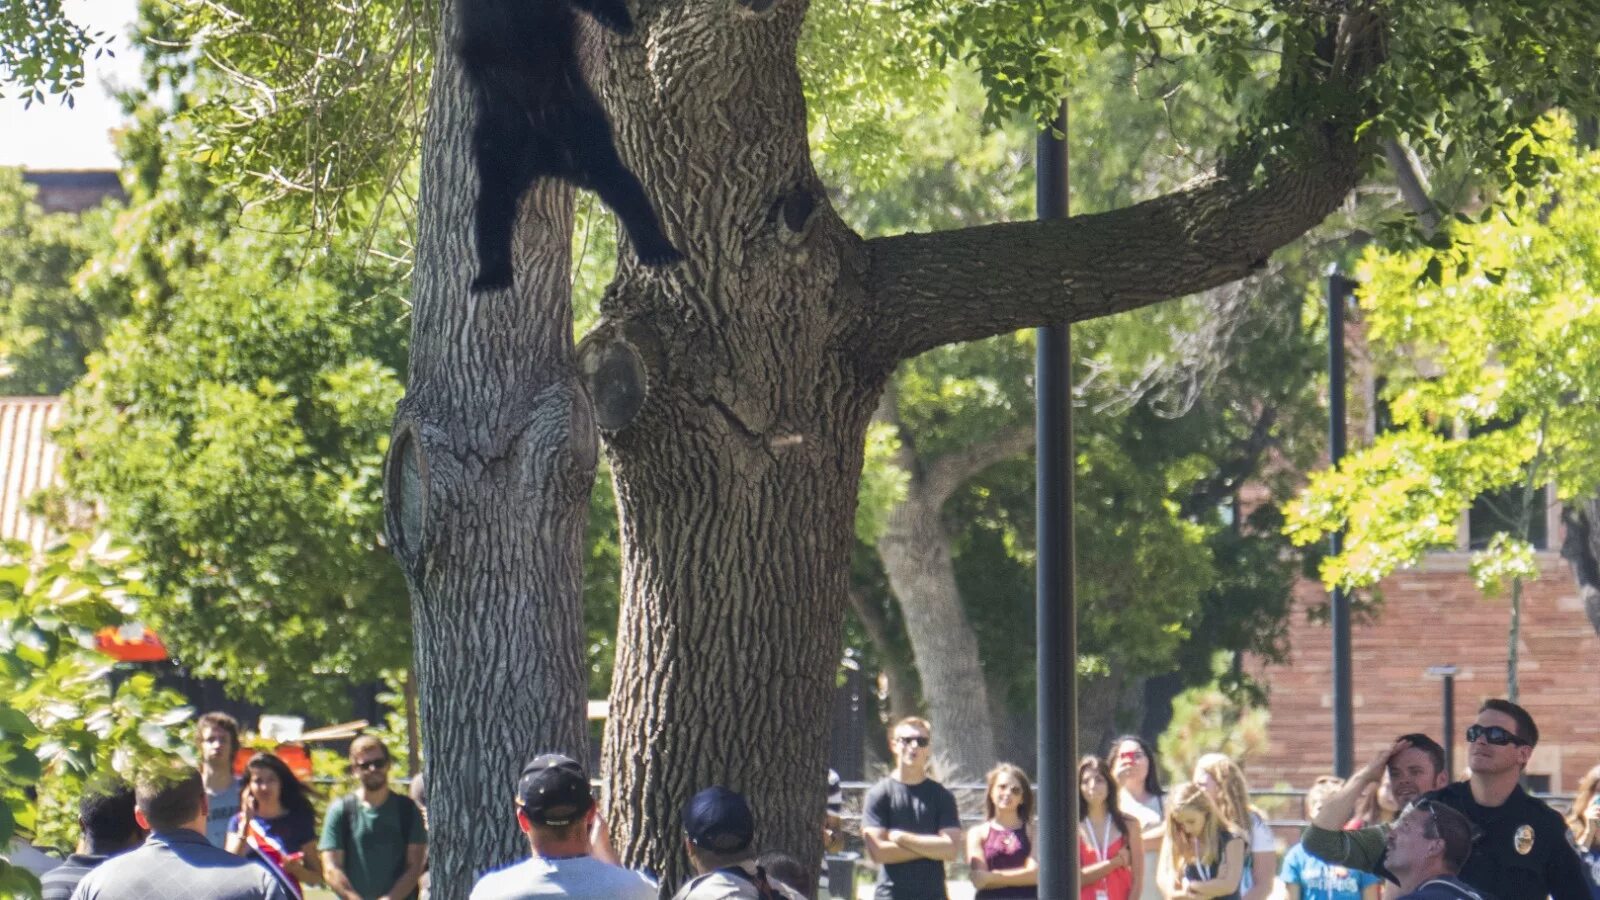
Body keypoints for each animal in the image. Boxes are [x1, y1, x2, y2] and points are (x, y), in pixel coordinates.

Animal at [464, 0, 688, 291]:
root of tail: (547, 158)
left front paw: (618, 19)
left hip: (579, 121)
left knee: (615, 179)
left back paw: (657, 249)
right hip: (504, 136)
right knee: (495, 199)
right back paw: (492, 275)